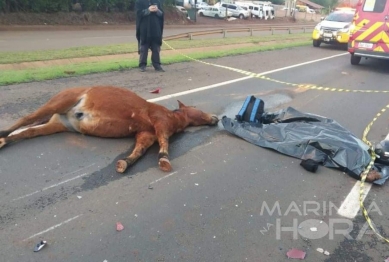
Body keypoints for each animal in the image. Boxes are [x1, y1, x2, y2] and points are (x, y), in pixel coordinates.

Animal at [0, 85, 218, 173]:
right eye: (197, 108)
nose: (215, 118)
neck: (173, 117)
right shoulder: (160, 123)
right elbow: (164, 142)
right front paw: (164, 160)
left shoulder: (146, 134)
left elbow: (139, 151)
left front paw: (125, 163)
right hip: (58, 103)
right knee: (27, 119)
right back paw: (2, 136)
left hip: (55, 124)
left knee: (29, 132)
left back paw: (4, 141)